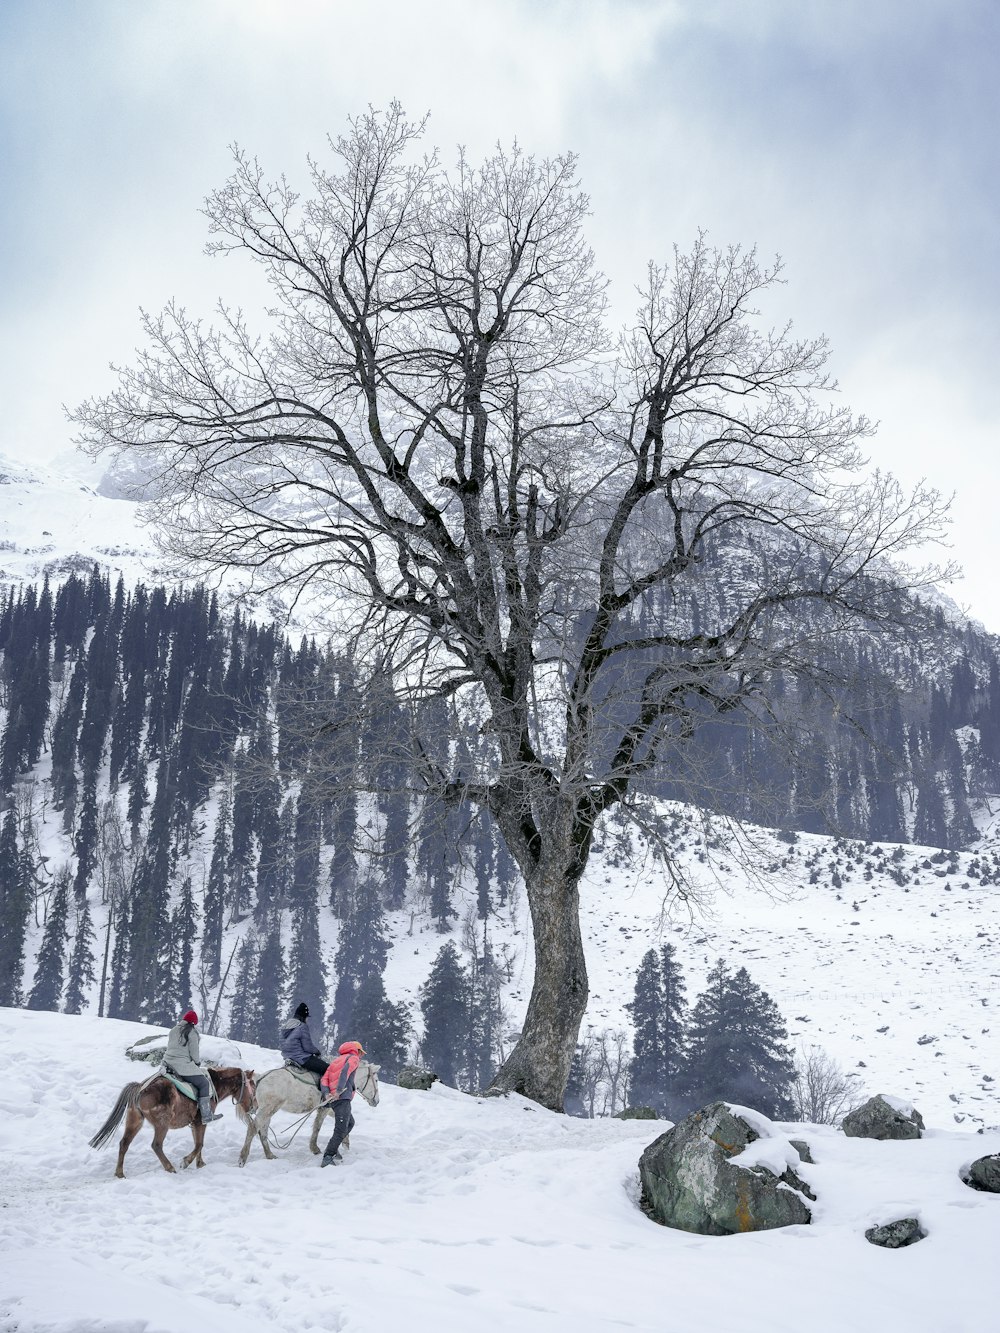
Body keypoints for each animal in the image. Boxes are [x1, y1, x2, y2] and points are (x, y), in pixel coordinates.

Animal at [89, 1066, 258, 1183]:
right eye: (253, 1086)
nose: (255, 1107)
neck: (214, 1085)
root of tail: (140, 1088)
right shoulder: (201, 1122)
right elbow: (200, 1144)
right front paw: (186, 1162)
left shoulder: (195, 1124)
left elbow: (198, 1143)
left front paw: (200, 1164)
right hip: (162, 1124)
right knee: (156, 1145)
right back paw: (170, 1167)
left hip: (135, 1122)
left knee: (124, 1143)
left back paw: (120, 1173)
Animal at [240, 1061, 384, 1167]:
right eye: (376, 1080)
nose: (376, 1101)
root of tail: (260, 1078)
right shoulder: (325, 1108)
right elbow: (318, 1127)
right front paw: (315, 1148)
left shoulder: (330, 1109)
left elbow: (348, 1121)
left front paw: (345, 1144)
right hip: (268, 1109)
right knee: (253, 1128)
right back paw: (243, 1158)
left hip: (268, 1111)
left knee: (262, 1132)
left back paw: (270, 1155)